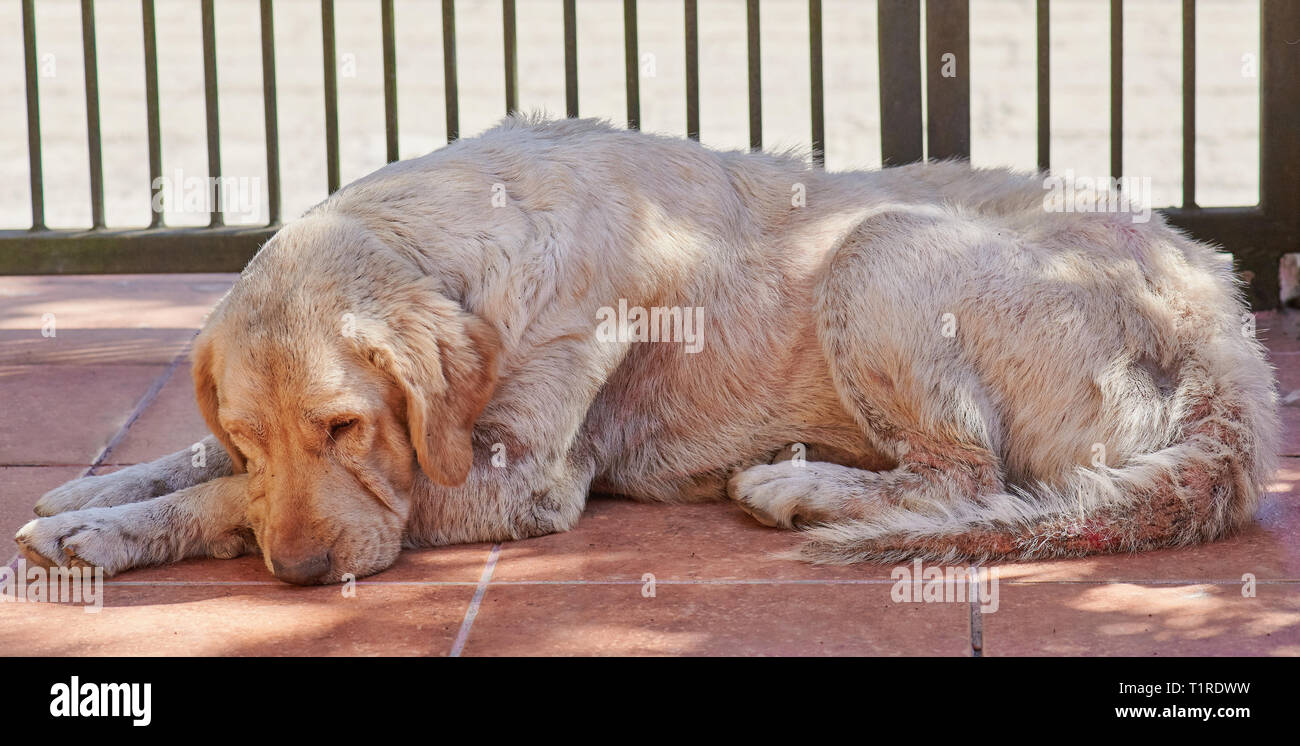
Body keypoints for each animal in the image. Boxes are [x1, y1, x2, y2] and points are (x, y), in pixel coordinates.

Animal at [17, 115, 1279, 584]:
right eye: (252, 427)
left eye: (345, 424)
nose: (303, 572)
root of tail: (1229, 340)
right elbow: (199, 464)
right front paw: (93, 493)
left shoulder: (513, 477)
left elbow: (226, 500)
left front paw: (108, 530)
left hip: (878, 248)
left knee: (962, 477)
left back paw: (794, 486)